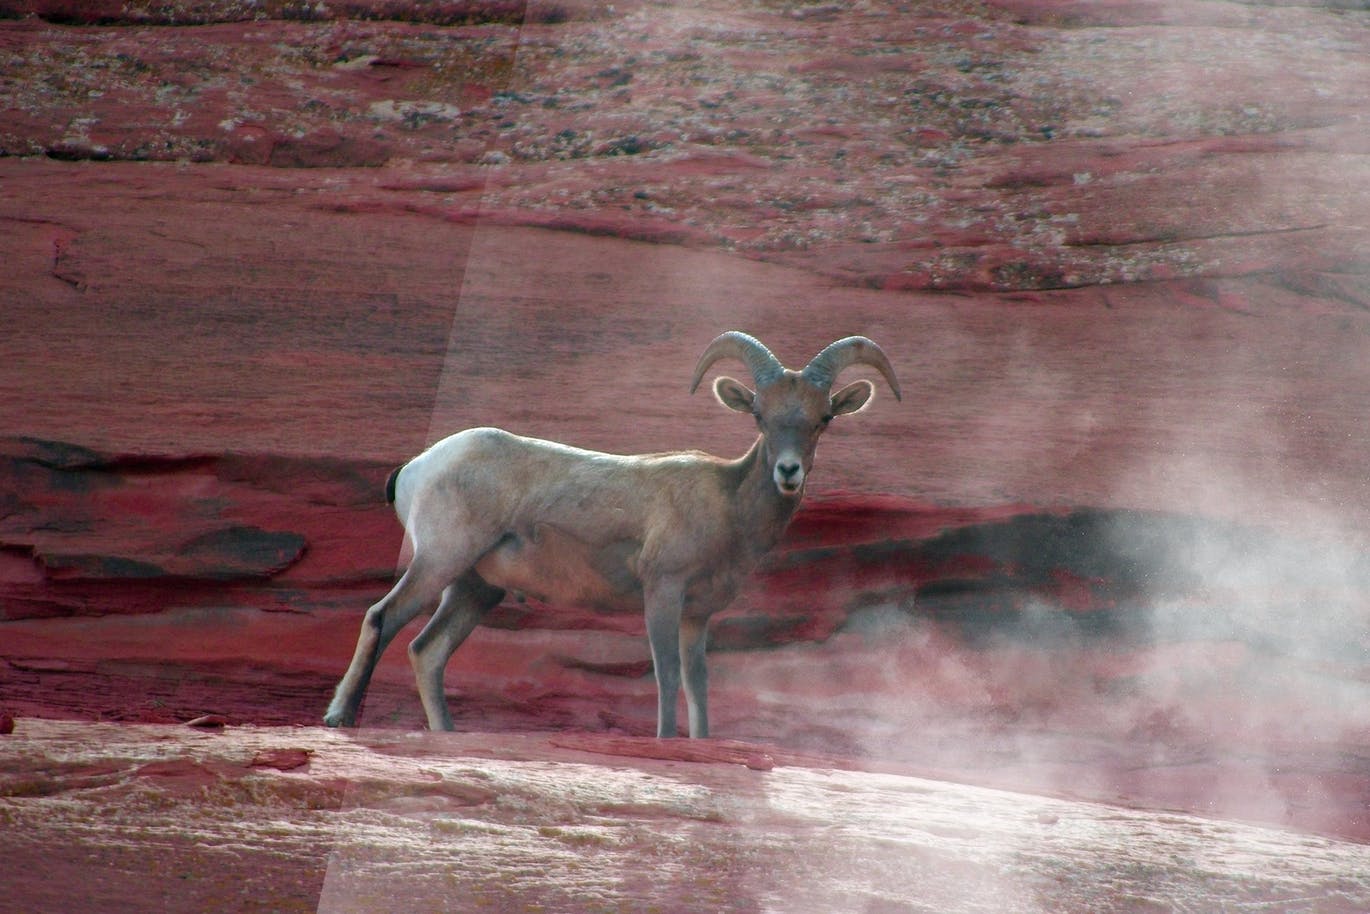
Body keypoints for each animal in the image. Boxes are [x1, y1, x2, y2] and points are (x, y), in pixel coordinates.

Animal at [320, 332, 898, 739]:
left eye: (823, 419)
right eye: (760, 414)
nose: (788, 471)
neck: (727, 504)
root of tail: (417, 467)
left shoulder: (698, 615)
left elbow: (698, 686)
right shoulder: (662, 593)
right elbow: (667, 677)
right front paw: (666, 743)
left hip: (474, 588)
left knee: (428, 651)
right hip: (440, 561)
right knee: (383, 618)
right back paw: (339, 717)